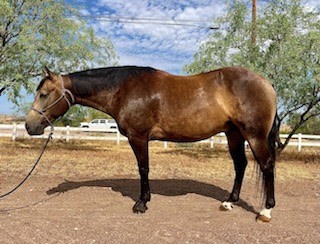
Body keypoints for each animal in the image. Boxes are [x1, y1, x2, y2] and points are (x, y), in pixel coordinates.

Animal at [25, 66, 276, 222]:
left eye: (44, 94)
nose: (29, 126)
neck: (123, 89)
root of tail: (266, 83)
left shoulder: (138, 137)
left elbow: (143, 168)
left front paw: (141, 203)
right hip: (234, 134)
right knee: (240, 165)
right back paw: (229, 202)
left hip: (254, 135)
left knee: (266, 165)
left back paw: (265, 211)